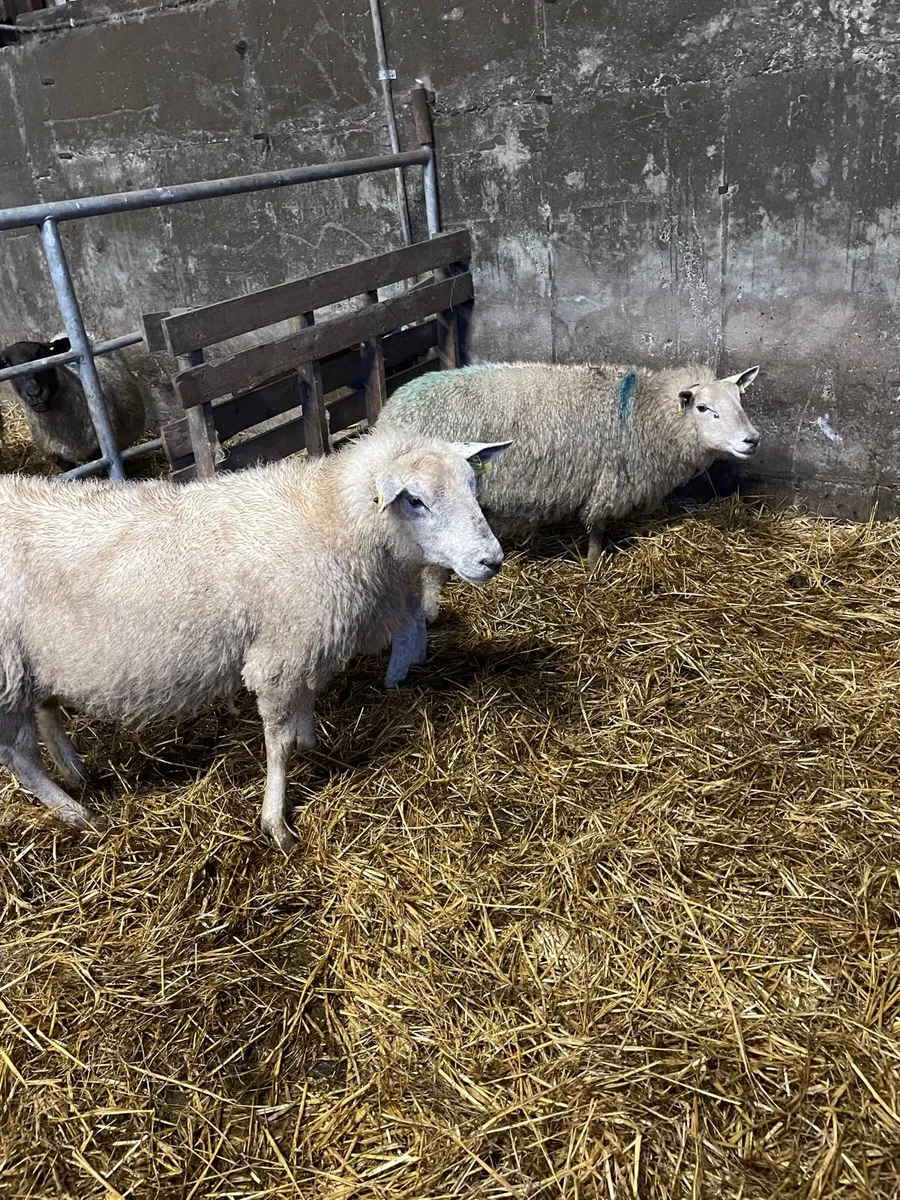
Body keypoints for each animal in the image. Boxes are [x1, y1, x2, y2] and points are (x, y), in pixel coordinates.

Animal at [0, 425, 509, 850]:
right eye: (416, 501)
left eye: (473, 486)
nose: (492, 560)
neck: (329, 519)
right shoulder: (280, 655)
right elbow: (278, 744)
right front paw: (276, 822)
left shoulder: (304, 645)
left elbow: (305, 706)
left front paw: (312, 746)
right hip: (6, 674)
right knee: (20, 758)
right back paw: (75, 812)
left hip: (38, 662)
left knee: (47, 712)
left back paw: (75, 771)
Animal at [378, 361, 761, 622]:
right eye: (704, 408)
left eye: (741, 401)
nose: (752, 440)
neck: (640, 413)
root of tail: (391, 410)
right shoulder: (608, 481)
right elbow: (598, 527)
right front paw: (593, 565)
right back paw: (430, 609)